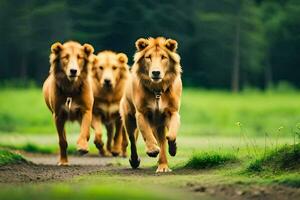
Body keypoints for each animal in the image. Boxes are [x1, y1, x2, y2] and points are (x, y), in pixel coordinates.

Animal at [120, 37, 182, 172]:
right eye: (148, 57)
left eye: (163, 57)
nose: (156, 72)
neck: (157, 90)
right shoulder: (141, 113)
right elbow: (146, 132)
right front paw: (152, 150)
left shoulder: (172, 111)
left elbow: (171, 134)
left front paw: (173, 148)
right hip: (128, 118)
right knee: (132, 140)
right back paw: (135, 161)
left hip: (159, 124)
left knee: (162, 141)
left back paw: (163, 166)